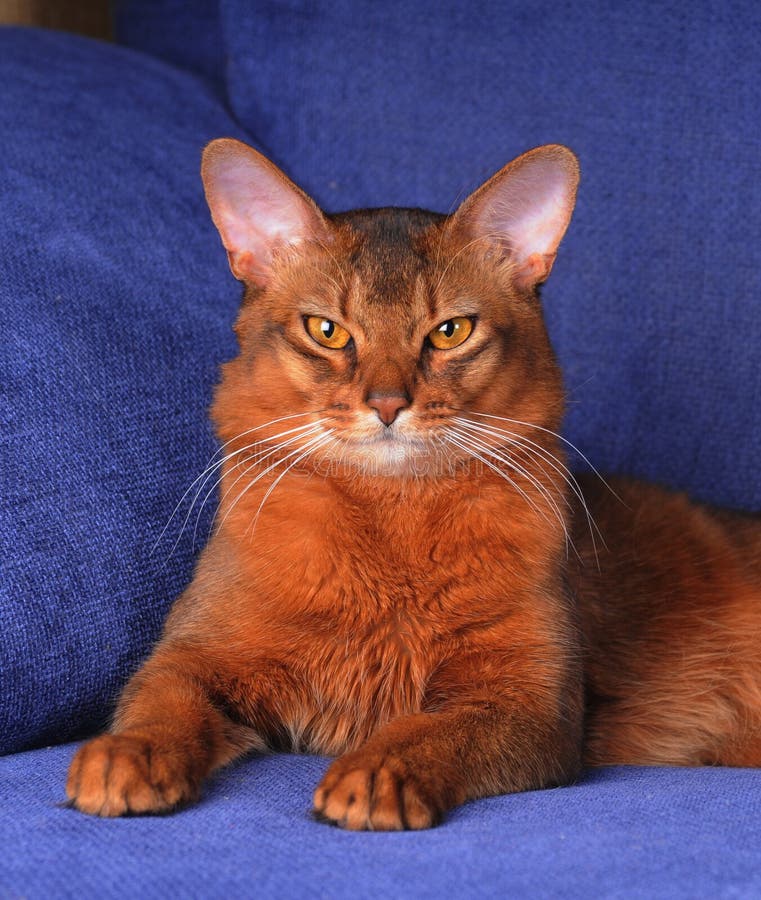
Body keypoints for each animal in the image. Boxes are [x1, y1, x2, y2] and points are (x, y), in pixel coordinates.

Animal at [65, 135, 760, 828]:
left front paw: (376, 773)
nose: (387, 403)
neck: (390, 515)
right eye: (327, 330)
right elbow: (159, 702)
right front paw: (128, 753)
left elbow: (429, 729)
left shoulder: (530, 700)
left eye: (450, 331)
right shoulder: (193, 654)